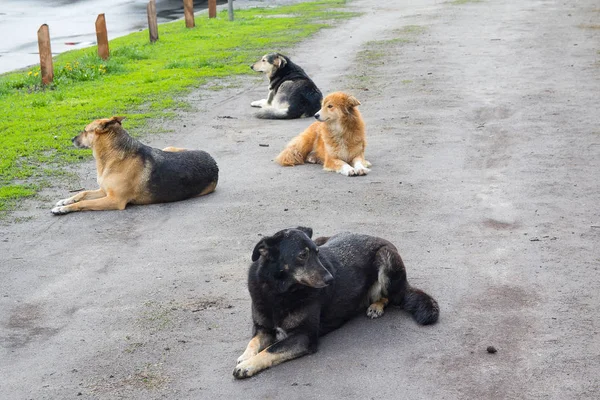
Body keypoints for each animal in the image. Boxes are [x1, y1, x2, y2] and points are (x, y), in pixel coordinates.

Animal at [49, 116, 218, 216]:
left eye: (85, 130)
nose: (71, 139)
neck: (113, 157)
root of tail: (214, 163)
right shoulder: (104, 191)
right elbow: (83, 194)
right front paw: (64, 201)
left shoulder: (115, 200)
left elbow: (85, 203)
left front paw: (63, 209)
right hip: (169, 148)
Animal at [232, 227, 438, 380]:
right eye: (302, 255)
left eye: (317, 254)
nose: (331, 279)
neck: (278, 291)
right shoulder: (263, 328)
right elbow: (254, 342)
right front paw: (245, 357)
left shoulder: (304, 336)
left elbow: (271, 349)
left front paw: (248, 365)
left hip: (386, 258)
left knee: (393, 296)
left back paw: (376, 306)